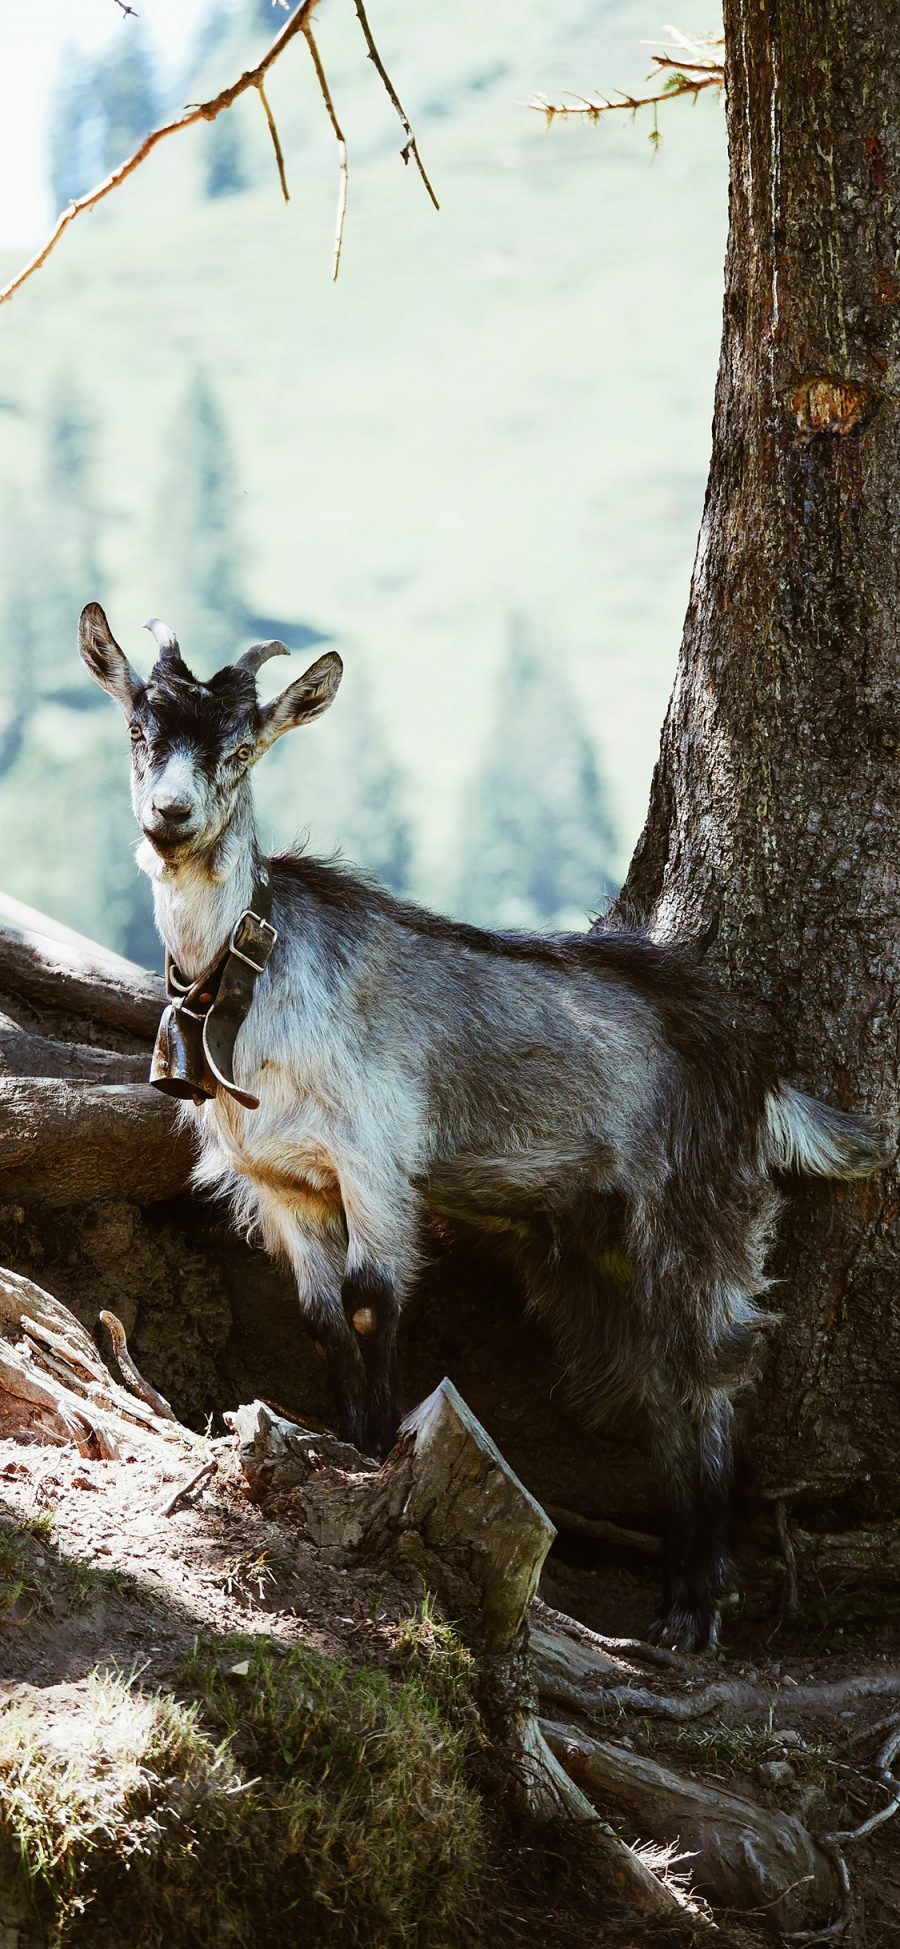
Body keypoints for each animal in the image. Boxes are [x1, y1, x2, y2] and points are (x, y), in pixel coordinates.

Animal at [78, 600, 892, 1652]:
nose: (169, 818)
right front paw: (349, 1441)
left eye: (240, 750)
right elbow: (319, 1318)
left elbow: (372, 1298)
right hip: (601, 1233)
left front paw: (379, 1453)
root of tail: (759, 1068)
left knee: (709, 1370)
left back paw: (696, 1606)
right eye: (140, 730)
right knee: (658, 1376)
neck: (257, 977)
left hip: (702, 1201)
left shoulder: (377, 1157)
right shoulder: (281, 1181)